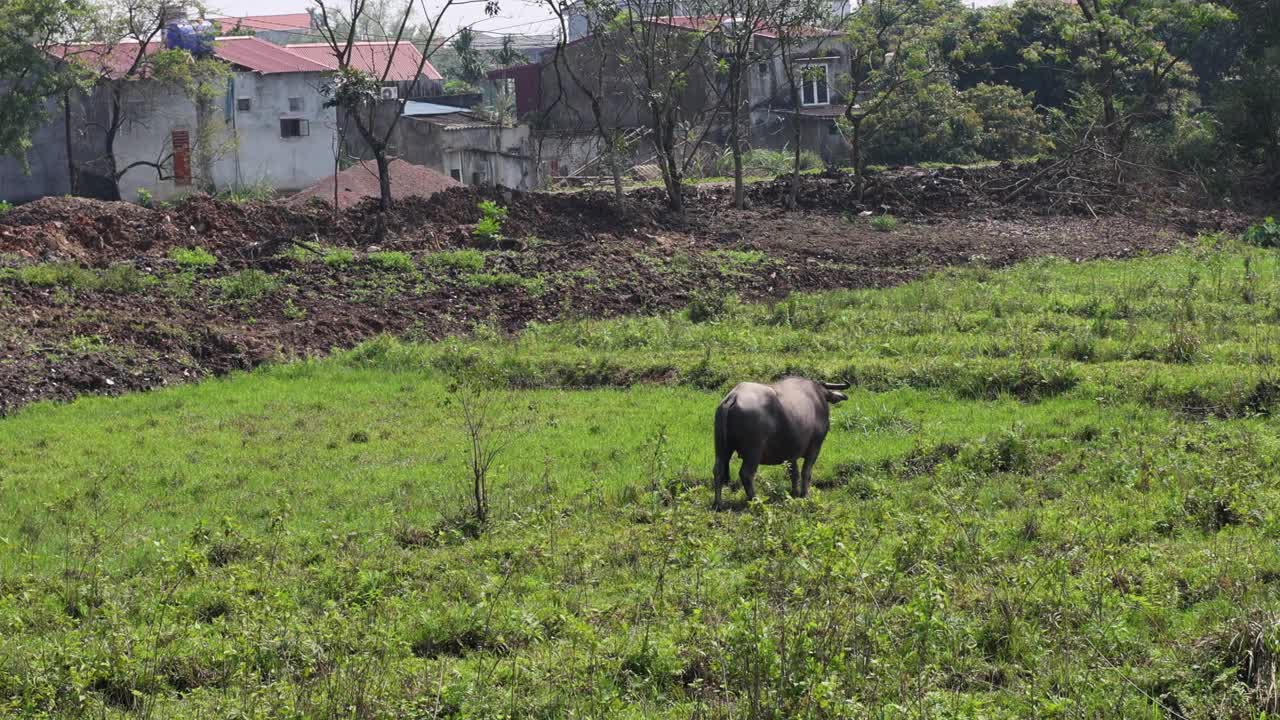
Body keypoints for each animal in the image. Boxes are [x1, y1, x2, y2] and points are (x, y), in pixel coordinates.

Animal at [716, 376, 844, 504]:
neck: (818, 396)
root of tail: (734, 396)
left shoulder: (791, 453)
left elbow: (794, 473)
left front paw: (794, 494)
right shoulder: (815, 446)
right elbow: (806, 472)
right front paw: (804, 495)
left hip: (722, 449)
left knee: (718, 471)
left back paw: (718, 503)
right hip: (753, 451)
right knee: (746, 474)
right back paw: (756, 500)